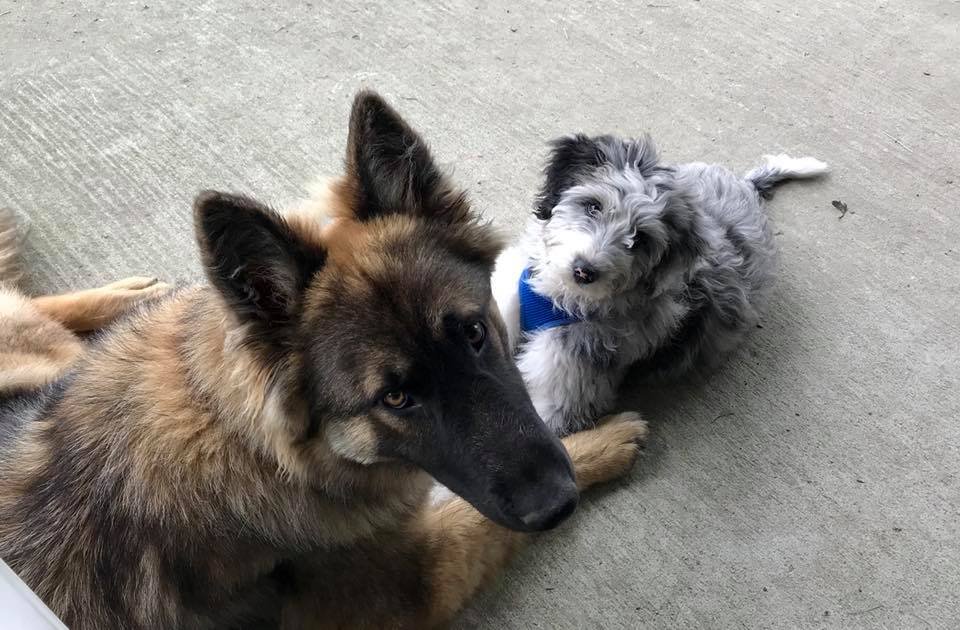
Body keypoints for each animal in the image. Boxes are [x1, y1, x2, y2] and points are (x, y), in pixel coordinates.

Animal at [0, 93, 648, 629]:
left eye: (472, 332)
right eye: (395, 397)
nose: (557, 504)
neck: (257, 446)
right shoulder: (416, 583)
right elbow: (472, 515)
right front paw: (604, 442)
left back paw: (134, 295)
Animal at [492, 133, 828, 434]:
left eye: (639, 239)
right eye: (593, 206)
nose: (584, 271)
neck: (558, 299)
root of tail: (747, 187)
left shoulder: (564, 389)